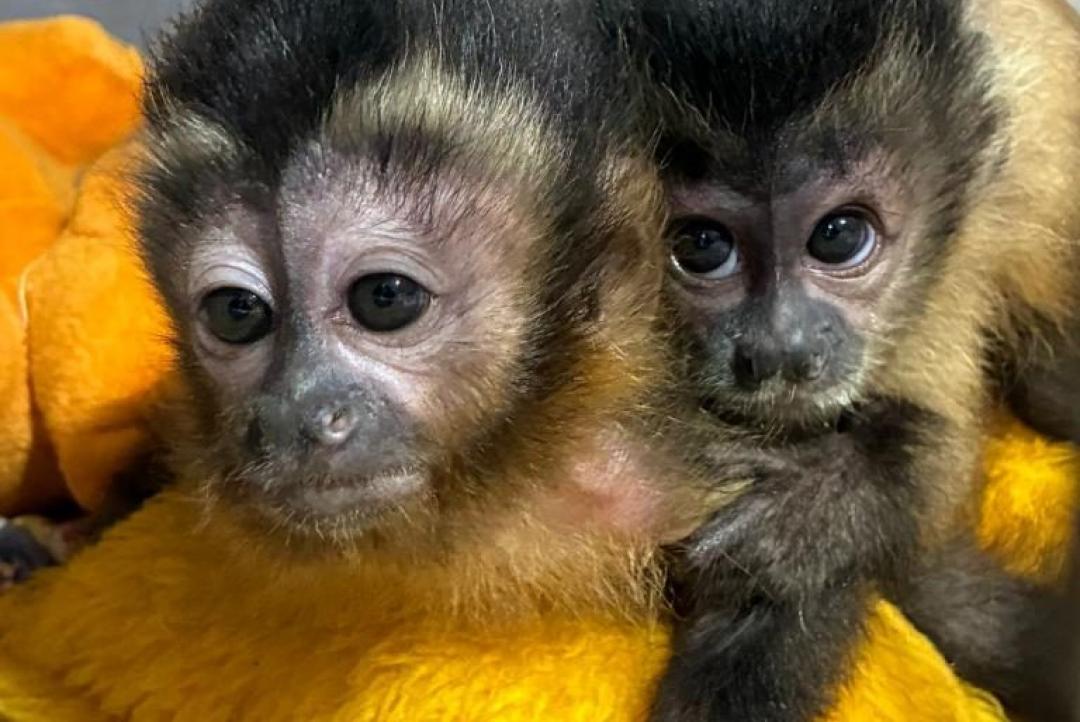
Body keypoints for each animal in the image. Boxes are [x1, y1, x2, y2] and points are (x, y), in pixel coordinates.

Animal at [598, 0, 1080, 719]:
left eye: (839, 236)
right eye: (702, 246)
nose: (778, 350)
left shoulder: (954, 253)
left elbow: (937, 472)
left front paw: (825, 505)